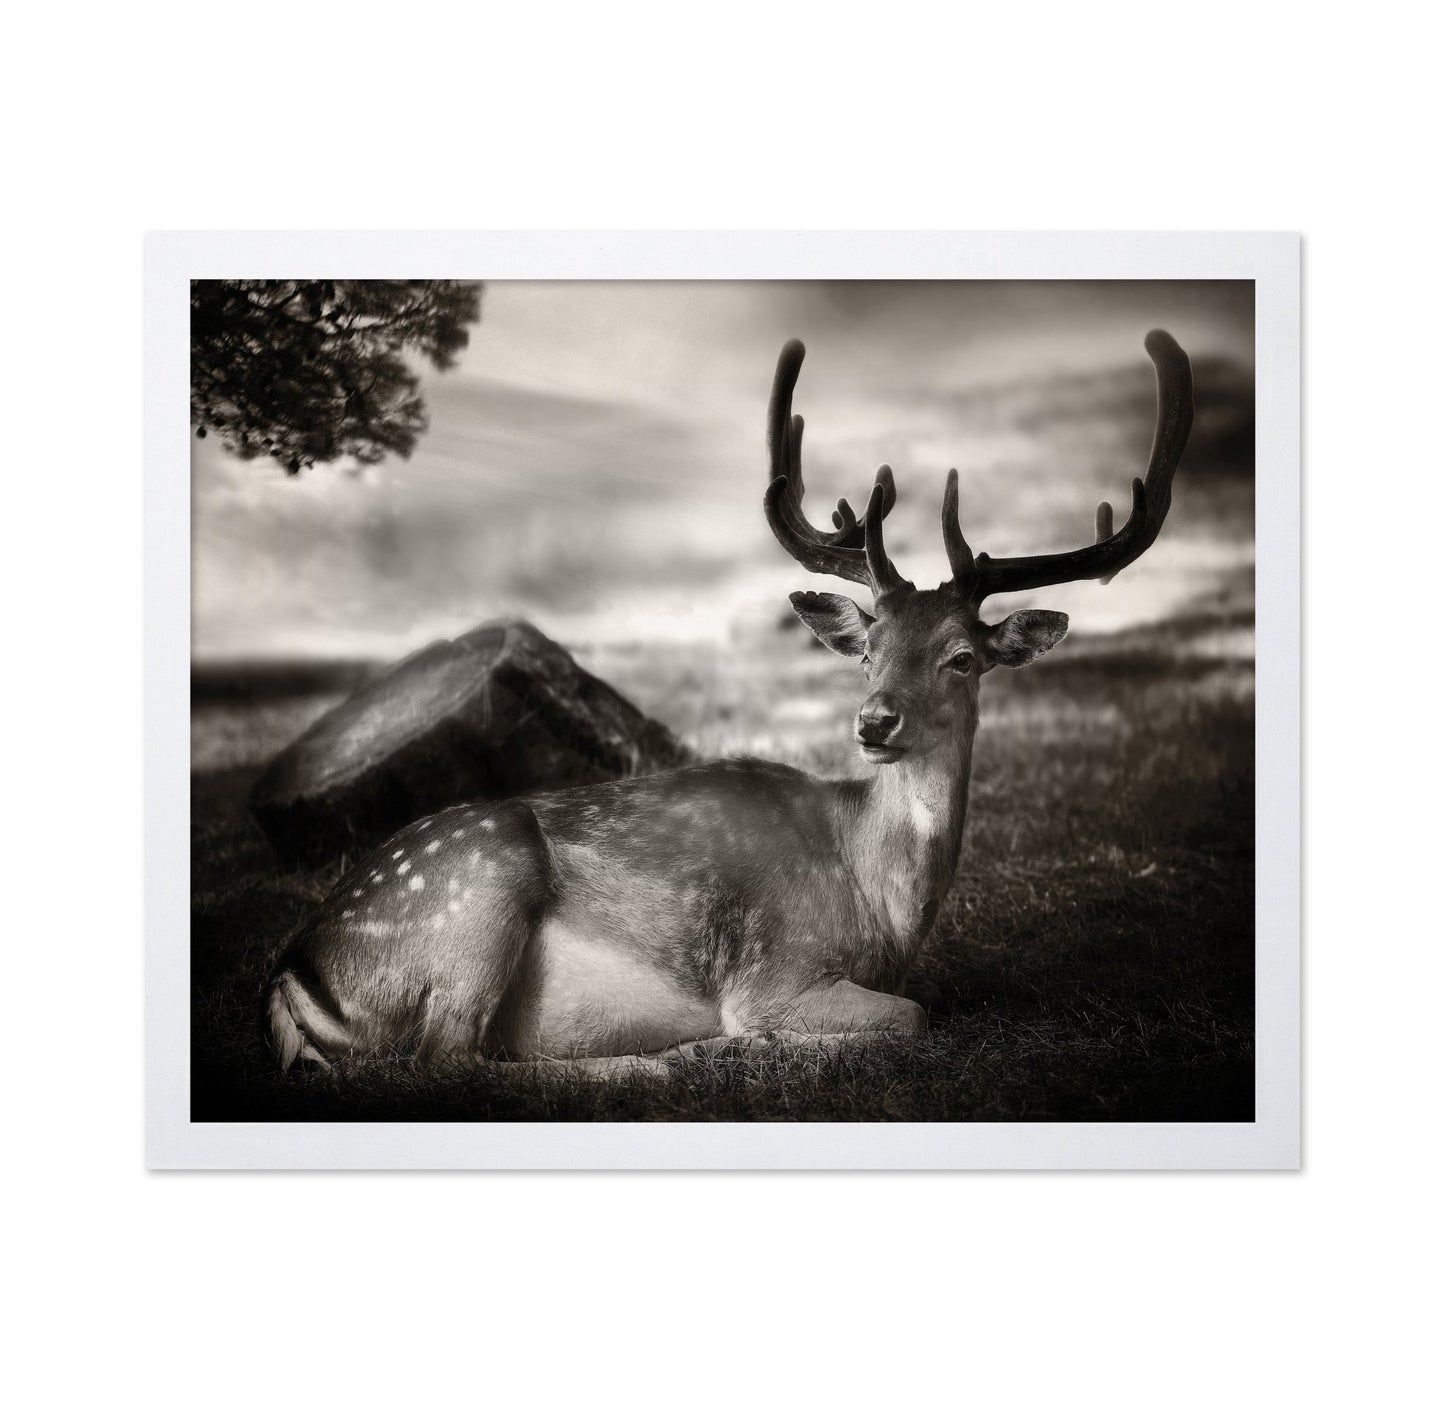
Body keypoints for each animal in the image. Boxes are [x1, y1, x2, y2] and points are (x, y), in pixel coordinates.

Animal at [267, 330, 1194, 1079]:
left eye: (962, 658)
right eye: (868, 652)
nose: (873, 722)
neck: (881, 905)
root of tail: (294, 969)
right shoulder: (777, 969)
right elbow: (913, 1014)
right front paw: (763, 1040)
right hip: (475, 888)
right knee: (449, 1059)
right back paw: (671, 1057)